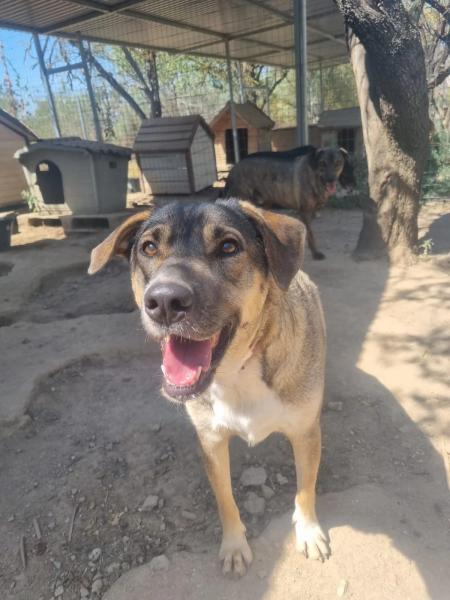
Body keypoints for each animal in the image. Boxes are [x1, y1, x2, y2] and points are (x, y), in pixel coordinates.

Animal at [89, 199, 329, 576]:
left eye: (229, 246)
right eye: (149, 247)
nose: (165, 302)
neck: (237, 371)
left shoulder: (305, 433)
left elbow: (305, 488)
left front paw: (308, 531)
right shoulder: (211, 441)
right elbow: (225, 499)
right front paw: (234, 545)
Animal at [223, 146, 353, 260]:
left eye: (338, 163)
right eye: (322, 163)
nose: (330, 180)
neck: (315, 176)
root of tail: (232, 170)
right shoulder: (304, 212)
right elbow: (311, 235)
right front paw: (316, 253)